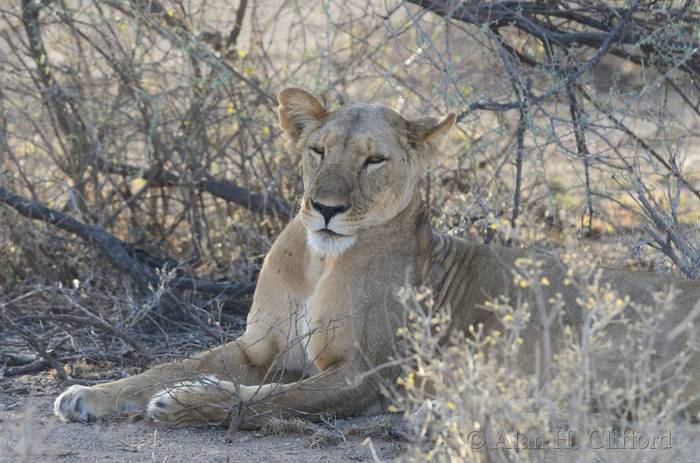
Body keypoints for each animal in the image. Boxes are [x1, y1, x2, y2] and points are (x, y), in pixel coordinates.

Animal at [54, 88, 700, 428]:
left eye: (374, 161)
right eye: (318, 151)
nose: (326, 208)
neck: (319, 262)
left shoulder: (369, 370)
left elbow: (275, 397)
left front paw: (190, 401)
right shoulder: (259, 348)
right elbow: (167, 365)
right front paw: (90, 394)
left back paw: (438, 410)